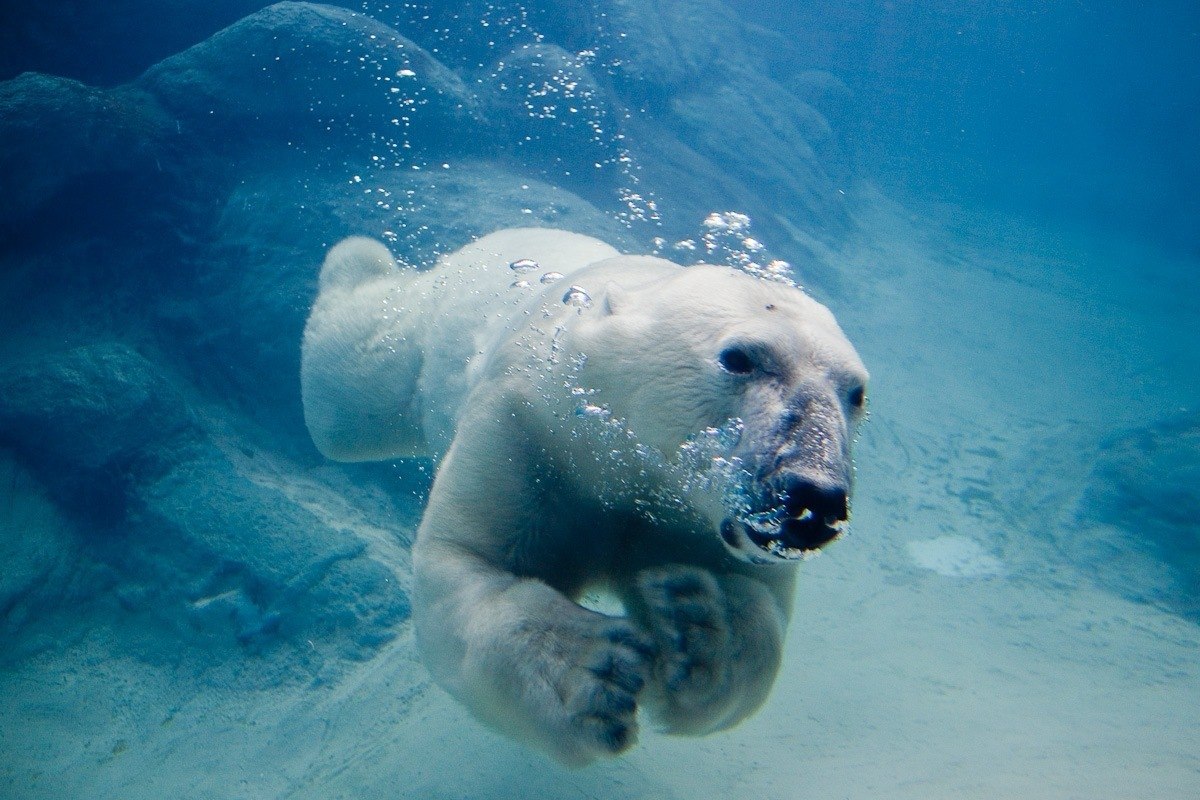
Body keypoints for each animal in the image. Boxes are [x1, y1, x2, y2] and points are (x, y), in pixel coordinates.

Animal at [297, 227, 864, 767]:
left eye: (857, 393)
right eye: (739, 358)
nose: (814, 500)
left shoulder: (699, 521)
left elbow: (757, 610)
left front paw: (697, 622)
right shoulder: (528, 428)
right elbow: (467, 562)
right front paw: (594, 673)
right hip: (428, 327)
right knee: (350, 393)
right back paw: (356, 260)